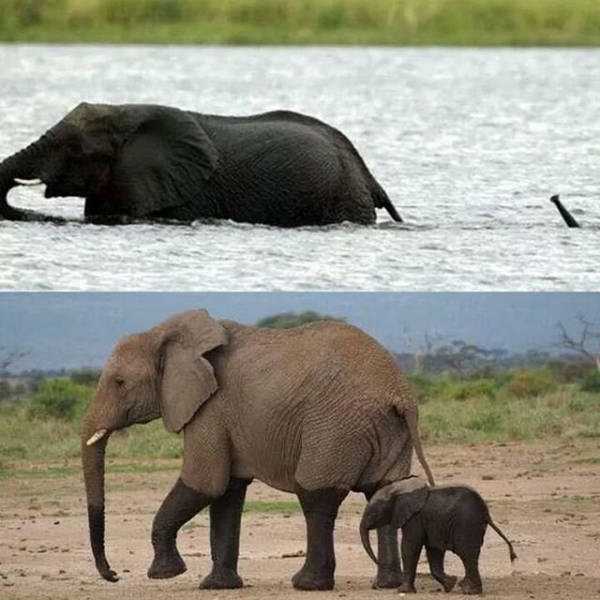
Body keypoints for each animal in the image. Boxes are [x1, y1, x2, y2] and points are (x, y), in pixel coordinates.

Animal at [82, 310, 434, 592]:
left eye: (119, 382)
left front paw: (166, 574)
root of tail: (399, 394)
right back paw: (387, 584)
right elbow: (227, 493)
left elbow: (205, 483)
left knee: (316, 495)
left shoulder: (210, 409)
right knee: (384, 491)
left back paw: (307, 584)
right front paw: (217, 586)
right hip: (385, 428)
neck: (166, 334)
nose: (113, 574)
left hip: (336, 426)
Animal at [360, 476, 516, 592]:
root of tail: (487, 513)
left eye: (373, 512)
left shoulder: (415, 518)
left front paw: (403, 591)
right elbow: (434, 550)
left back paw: (469, 591)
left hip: (467, 524)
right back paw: (465, 587)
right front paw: (450, 584)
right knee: (470, 555)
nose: (378, 562)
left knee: (467, 554)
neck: (400, 488)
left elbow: (410, 547)